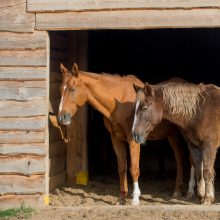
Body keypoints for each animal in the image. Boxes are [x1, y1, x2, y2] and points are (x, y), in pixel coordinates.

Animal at [57, 62, 185, 205]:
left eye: (72, 89)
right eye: (61, 89)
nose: (61, 117)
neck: (118, 104)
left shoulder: (133, 139)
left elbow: (134, 169)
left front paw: (135, 199)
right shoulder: (116, 139)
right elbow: (122, 168)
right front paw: (122, 198)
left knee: (181, 158)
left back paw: (178, 191)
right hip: (171, 135)